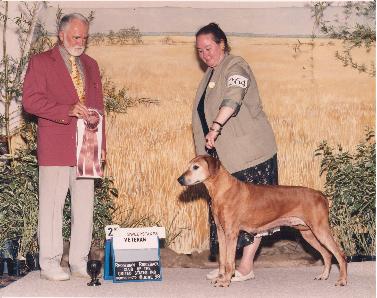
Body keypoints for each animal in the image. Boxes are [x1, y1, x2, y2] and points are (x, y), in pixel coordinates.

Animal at [177, 155, 346, 288]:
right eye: (188, 166)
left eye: (196, 167)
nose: (180, 179)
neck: (223, 189)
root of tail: (321, 195)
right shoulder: (221, 232)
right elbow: (223, 260)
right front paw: (220, 278)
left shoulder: (232, 233)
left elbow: (230, 261)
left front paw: (225, 281)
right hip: (308, 233)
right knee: (327, 254)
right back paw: (324, 275)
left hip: (320, 229)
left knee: (340, 254)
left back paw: (342, 280)